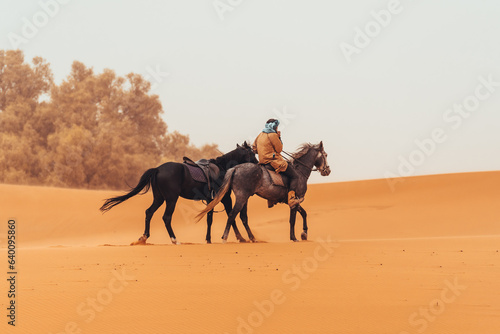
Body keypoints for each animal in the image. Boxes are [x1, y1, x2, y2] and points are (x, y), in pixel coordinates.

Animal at [100, 142, 258, 244]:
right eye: (251, 152)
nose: (258, 163)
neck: (223, 168)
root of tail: (158, 169)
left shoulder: (211, 199)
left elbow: (211, 218)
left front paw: (209, 239)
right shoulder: (224, 198)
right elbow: (230, 216)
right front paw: (240, 238)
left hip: (159, 198)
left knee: (149, 212)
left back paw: (144, 237)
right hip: (171, 199)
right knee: (166, 217)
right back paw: (174, 239)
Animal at [196, 142, 332, 241]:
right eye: (325, 155)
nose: (327, 170)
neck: (300, 172)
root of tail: (235, 168)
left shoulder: (294, 201)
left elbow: (304, 213)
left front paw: (304, 233)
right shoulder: (295, 200)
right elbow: (292, 220)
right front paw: (294, 238)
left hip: (244, 198)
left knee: (241, 216)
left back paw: (250, 238)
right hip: (242, 198)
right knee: (232, 215)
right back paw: (227, 237)